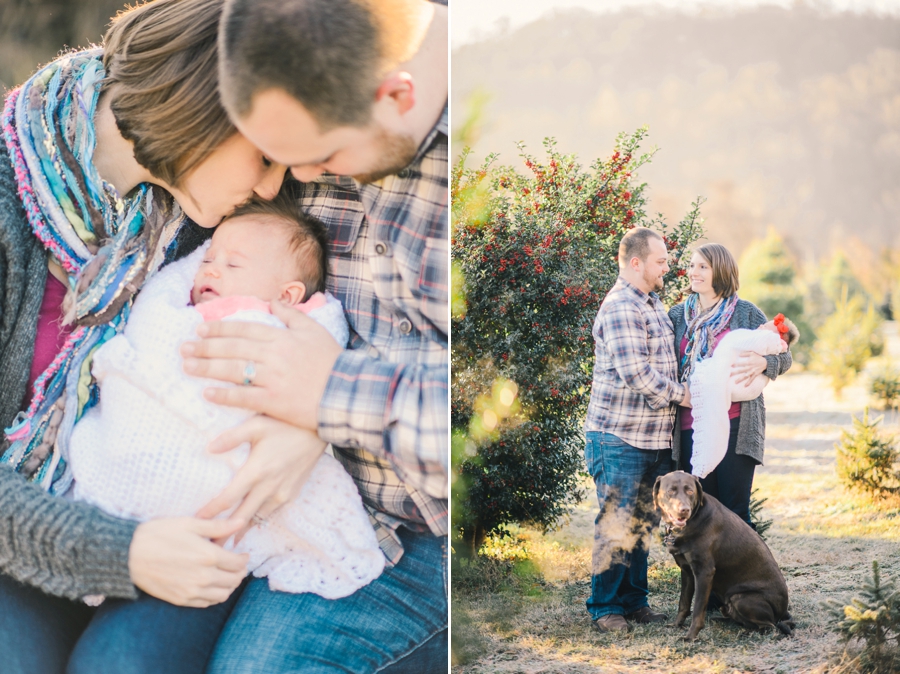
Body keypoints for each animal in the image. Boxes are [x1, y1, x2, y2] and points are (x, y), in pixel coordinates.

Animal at [652, 470, 792, 636]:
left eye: (690, 491)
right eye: (671, 491)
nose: (684, 510)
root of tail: (783, 613)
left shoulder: (704, 572)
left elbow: (698, 609)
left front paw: (691, 636)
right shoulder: (686, 571)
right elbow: (684, 603)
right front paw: (676, 625)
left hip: (741, 598)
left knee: (770, 627)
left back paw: (746, 633)